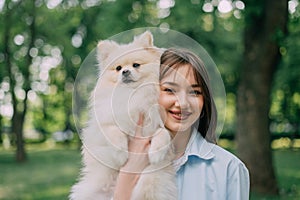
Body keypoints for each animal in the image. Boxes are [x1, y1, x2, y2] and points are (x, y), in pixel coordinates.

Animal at [69, 32, 177, 199]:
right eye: (118, 68)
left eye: (136, 65)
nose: (125, 71)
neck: (133, 94)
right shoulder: (103, 126)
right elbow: (113, 131)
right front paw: (121, 153)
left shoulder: (159, 123)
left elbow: (162, 133)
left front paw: (156, 152)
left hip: (150, 179)